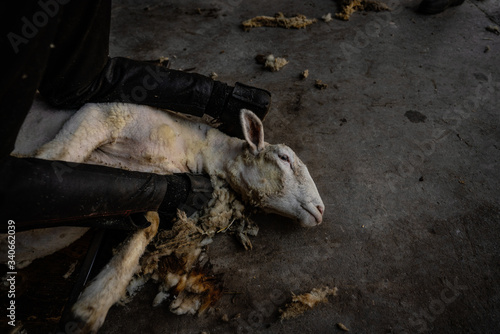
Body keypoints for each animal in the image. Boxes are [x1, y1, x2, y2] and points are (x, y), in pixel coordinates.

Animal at [3, 98, 324, 332]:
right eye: (284, 158)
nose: (321, 210)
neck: (194, 149)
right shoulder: (103, 113)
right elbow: (57, 157)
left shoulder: (147, 184)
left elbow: (150, 223)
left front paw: (92, 307)